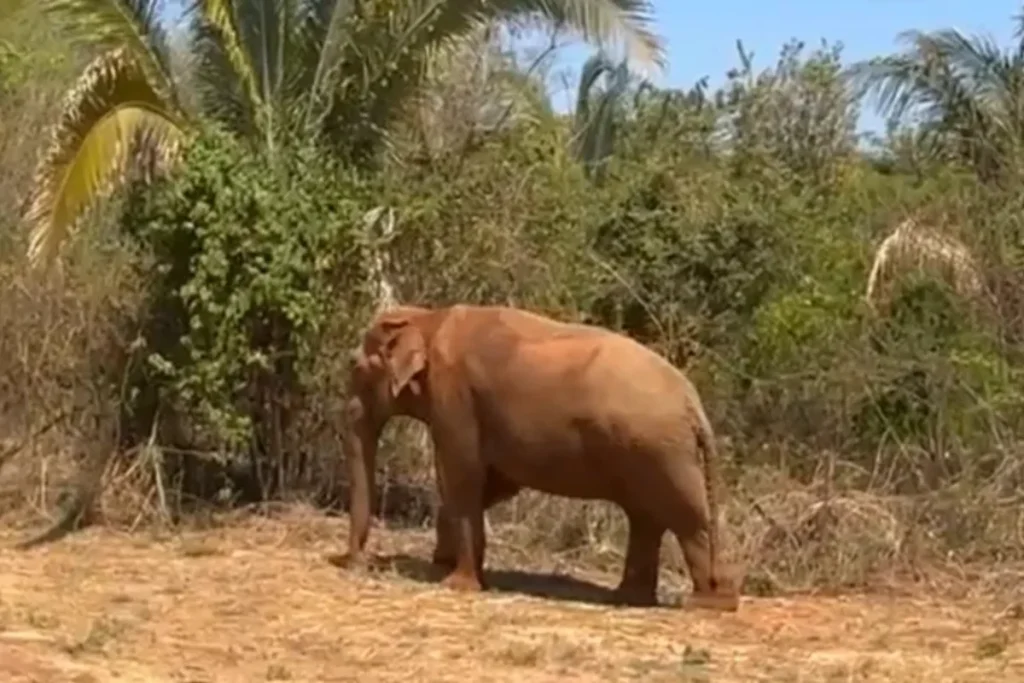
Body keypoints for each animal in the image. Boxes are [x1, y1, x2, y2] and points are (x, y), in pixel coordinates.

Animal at [337, 303, 742, 611]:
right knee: (647, 518)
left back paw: (707, 603)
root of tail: (693, 404)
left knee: (685, 517)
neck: (429, 318)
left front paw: (454, 583)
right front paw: (442, 562)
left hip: (659, 451)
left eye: (354, 366)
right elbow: (495, 483)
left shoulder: (455, 398)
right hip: (651, 451)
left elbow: (462, 475)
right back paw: (631, 598)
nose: (357, 562)